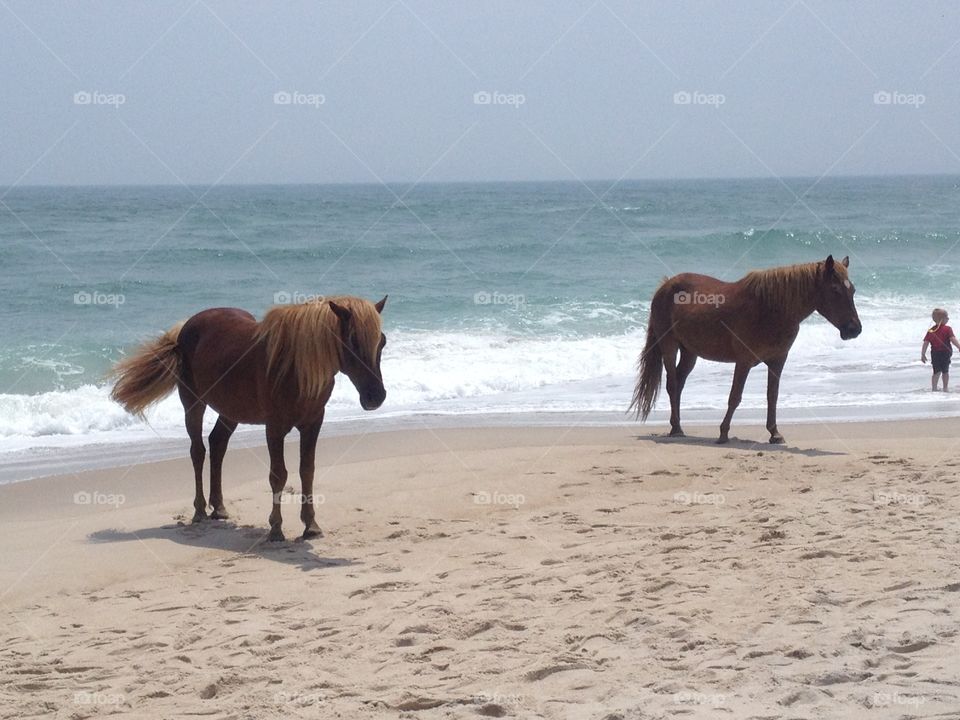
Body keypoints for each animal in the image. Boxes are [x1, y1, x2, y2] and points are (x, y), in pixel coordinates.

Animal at [110, 295, 387, 541]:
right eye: (352, 341)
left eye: (382, 341)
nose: (376, 396)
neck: (295, 365)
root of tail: (187, 326)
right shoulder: (274, 427)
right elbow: (278, 475)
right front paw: (276, 529)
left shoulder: (312, 424)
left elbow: (307, 471)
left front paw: (311, 526)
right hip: (193, 403)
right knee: (198, 451)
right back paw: (200, 510)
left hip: (230, 411)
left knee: (217, 444)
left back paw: (219, 508)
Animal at [630, 255, 861, 444]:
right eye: (835, 290)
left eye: (853, 290)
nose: (854, 329)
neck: (770, 308)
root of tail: (665, 285)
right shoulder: (743, 362)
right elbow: (735, 396)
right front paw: (723, 433)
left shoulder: (778, 360)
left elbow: (772, 395)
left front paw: (774, 433)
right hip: (669, 346)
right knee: (672, 384)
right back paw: (677, 428)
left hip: (690, 352)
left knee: (679, 383)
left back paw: (676, 426)